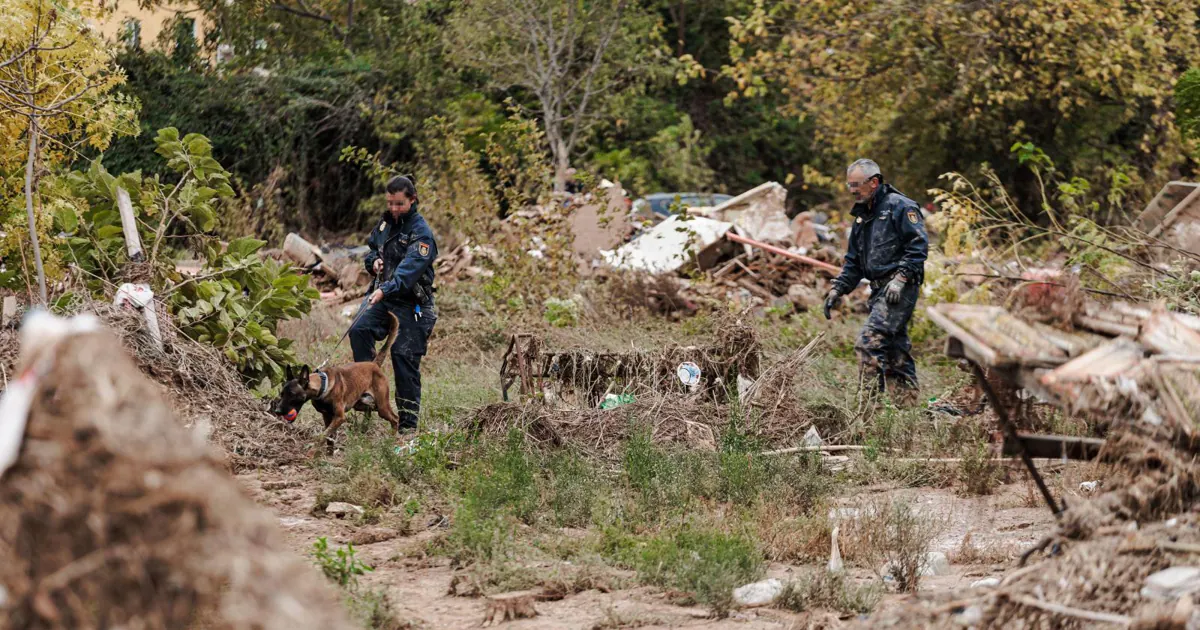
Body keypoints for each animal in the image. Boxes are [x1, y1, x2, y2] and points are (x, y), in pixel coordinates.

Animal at [273, 312, 400, 453]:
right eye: (282, 394)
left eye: (292, 394)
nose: (277, 411)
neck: (323, 385)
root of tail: (374, 364)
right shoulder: (327, 416)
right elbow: (329, 438)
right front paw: (327, 454)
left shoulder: (339, 417)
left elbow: (323, 436)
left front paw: (311, 454)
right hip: (360, 404)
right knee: (371, 409)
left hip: (382, 406)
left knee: (395, 419)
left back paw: (392, 441)